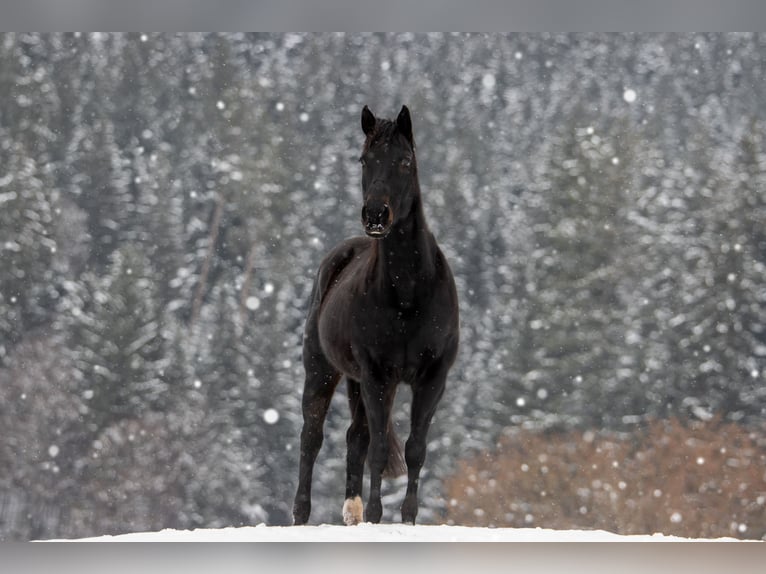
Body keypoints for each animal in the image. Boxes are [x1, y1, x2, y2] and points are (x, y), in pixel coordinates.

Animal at [294, 103, 462, 528]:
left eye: (405, 161)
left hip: (356, 382)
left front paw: (407, 519)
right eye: (364, 160)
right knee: (312, 438)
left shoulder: (432, 378)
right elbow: (381, 449)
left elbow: (415, 449)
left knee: (355, 437)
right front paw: (375, 515)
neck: (408, 291)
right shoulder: (378, 376)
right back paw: (300, 515)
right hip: (323, 372)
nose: (375, 214)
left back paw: (351, 513)